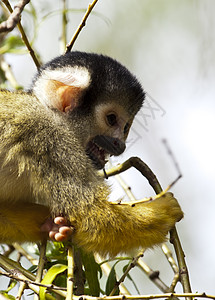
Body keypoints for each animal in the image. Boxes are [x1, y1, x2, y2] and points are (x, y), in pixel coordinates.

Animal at [0, 51, 183, 255]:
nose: (120, 144)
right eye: (111, 119)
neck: (52, 115)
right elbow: (90, 215)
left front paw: (50, 226)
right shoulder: (48, 138)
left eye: (126, 127)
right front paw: (163, 211)